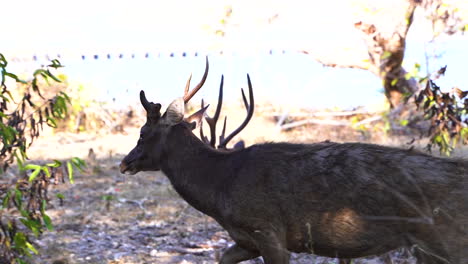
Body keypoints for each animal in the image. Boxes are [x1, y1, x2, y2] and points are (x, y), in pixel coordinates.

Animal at [121, 58, 468, 264]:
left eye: (142, 133)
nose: (125, 163)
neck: (221, 189)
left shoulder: (268, 231)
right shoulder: (246, 239)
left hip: (444, 238)